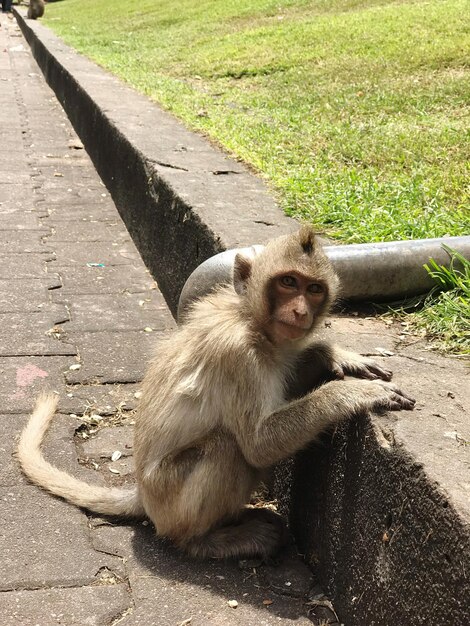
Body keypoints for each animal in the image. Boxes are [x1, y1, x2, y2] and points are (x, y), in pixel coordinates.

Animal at [19, 227, 414, 560]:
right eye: (288, 282)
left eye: (314, 289)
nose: (300, 311)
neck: (251, 321)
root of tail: (142, 494)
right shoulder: (236, 355)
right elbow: (258, 444)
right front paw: (354, 392)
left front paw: (334, 356)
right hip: (170, 498)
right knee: (228, 447)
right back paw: (205, 541)